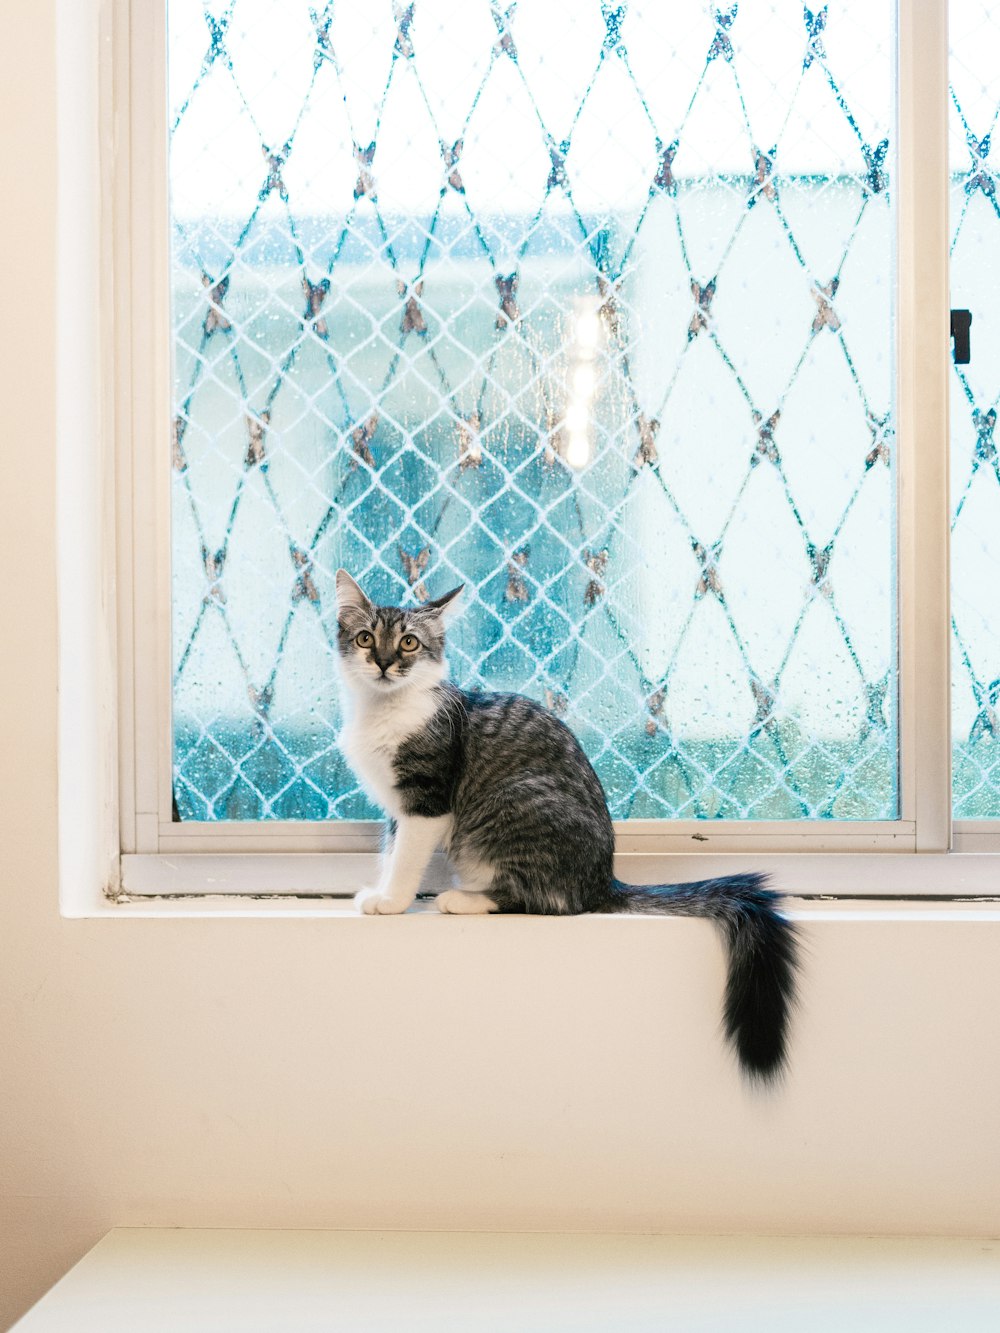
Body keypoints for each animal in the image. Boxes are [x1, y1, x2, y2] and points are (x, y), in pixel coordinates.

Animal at [334, 567, 800, 1077]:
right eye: (365, 638)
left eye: (409, 643)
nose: (383, 663)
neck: (385, 710)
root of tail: (602, 881)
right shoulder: (396, 808)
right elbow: (389, 851)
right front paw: (378, 890)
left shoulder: (428, 796)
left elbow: (406, 857)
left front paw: (392, 901)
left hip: (513, 802)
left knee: (545, 900)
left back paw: (464, 898)